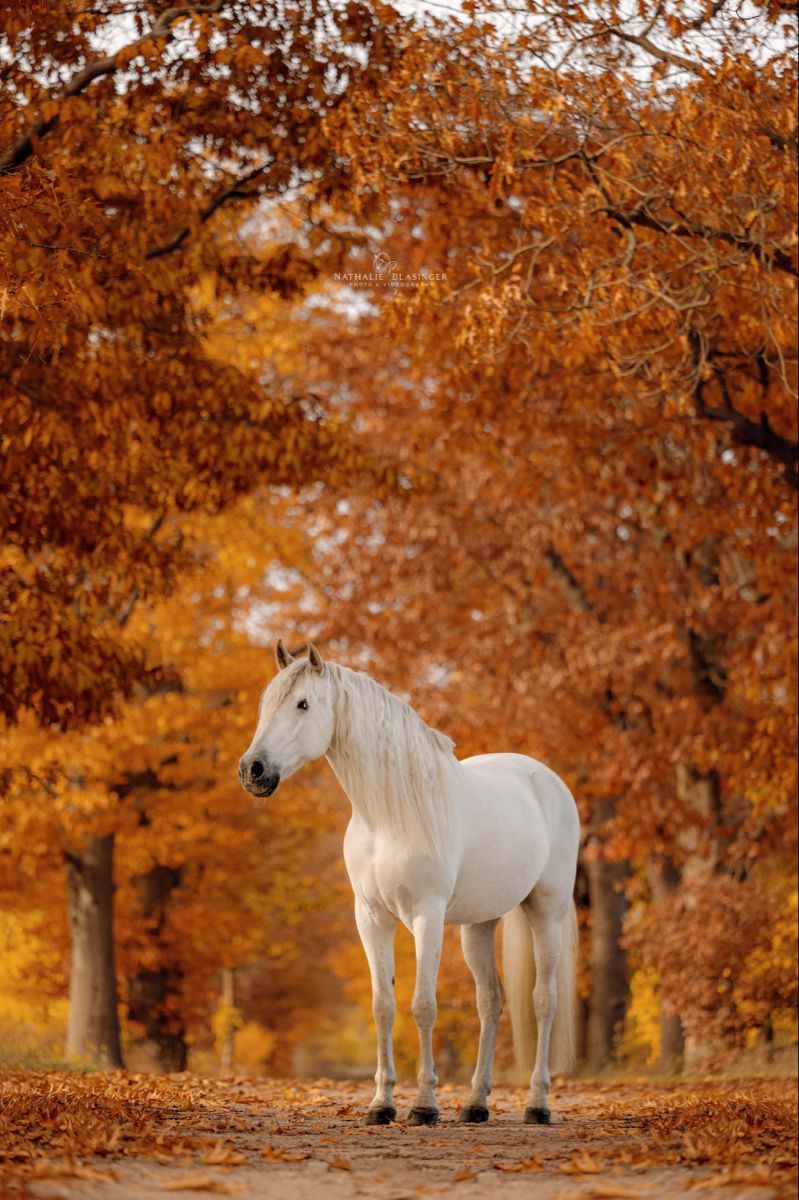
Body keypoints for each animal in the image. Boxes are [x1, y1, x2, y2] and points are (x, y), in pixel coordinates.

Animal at [236, 648, 578, 1123]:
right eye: (266, 704)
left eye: (302, 703)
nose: (253, 770)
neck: (388, 817)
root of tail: (547, 779)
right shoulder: (371, 918)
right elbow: (383, 1006)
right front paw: (381, 1105)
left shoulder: (426, 916)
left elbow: (423, 1005)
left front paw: (424, 1105)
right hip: (479, 924)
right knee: (490, 1001)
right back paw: (475, 1104)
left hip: (547, 910)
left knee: (544, 1000)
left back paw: (537, 1105)